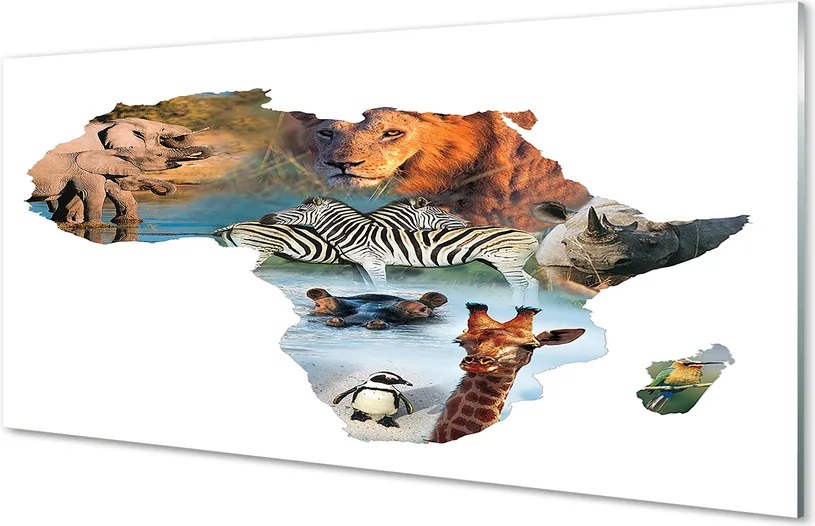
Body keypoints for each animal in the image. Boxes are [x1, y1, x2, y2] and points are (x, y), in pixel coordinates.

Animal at [266, 196, 540, 303]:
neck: (357, 231)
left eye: (300, 210)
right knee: (532, 282)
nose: (267, 217)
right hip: (503, 263)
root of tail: (532, 237)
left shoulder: (374, 263)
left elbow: (381, 287)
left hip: (506, 263)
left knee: (519, 286)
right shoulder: (361, 265)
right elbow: (365, 288)